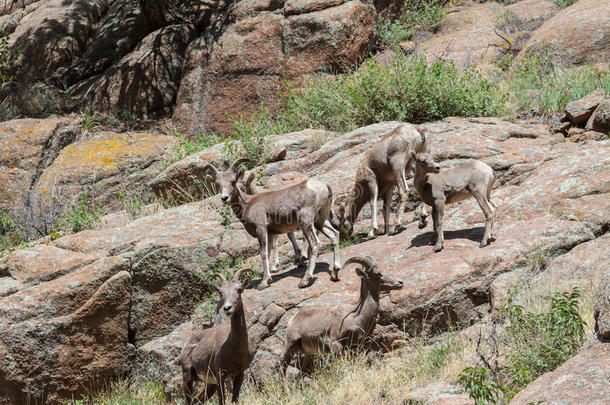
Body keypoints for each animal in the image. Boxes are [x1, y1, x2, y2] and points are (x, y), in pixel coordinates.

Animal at [176, 266, 254, 402]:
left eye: (239, 289)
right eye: (220, 292)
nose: (227, 308)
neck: (235, 347)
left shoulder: (240, 373)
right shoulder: (220, 374)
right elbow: (222, 400)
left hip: (209, 384)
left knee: (198, 400)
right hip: (187, 378)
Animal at [203, 158, 338, 288]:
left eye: (233, 182)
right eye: (218, 184)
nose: (224, 198)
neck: (248, 204)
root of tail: (323, 187)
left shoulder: (261, 229)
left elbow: (263, 253)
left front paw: (264, 282)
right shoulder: (271, 233)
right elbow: (269, 251)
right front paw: (267, 276)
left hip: (306, 222)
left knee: (314, 244)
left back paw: (304, 281)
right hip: (320, 220)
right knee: (335, 235)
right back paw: (335, 273)